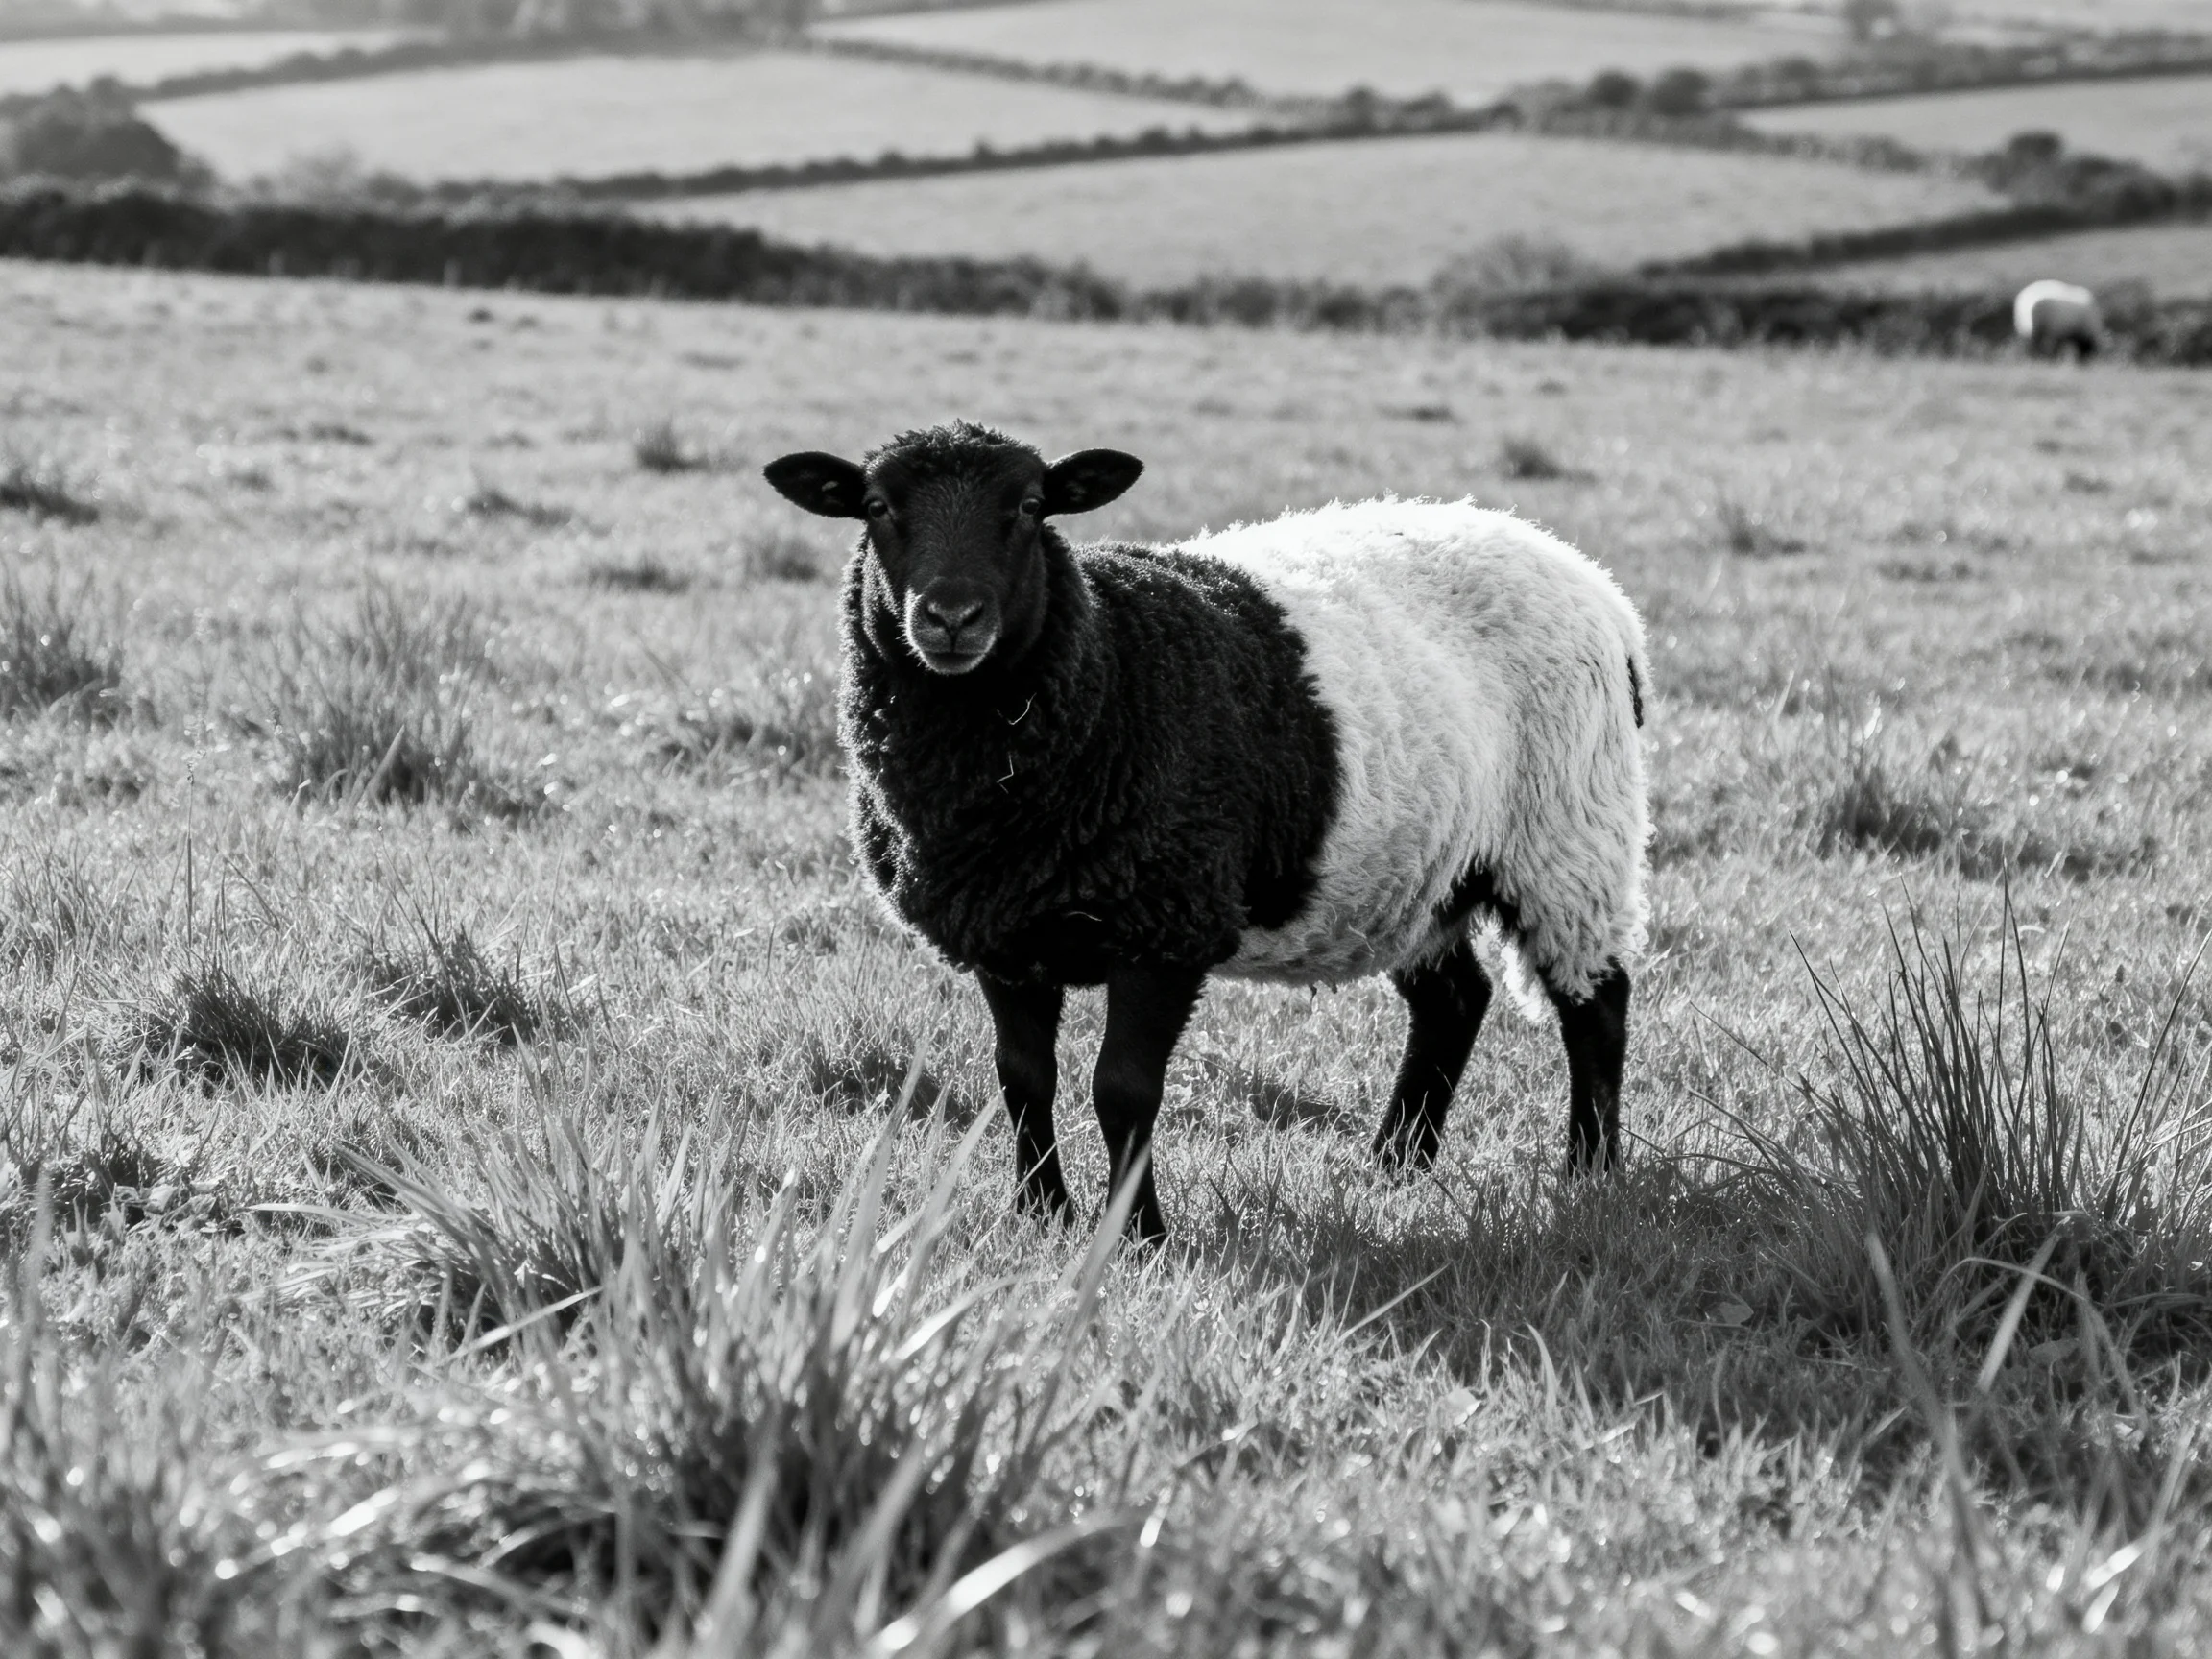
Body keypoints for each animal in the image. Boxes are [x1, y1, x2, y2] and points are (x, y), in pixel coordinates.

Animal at [765, 421, 1650, 1241]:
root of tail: (1584, 574)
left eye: (1029, 506)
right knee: (1454, 1001)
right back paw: (1395, 1166)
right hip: (1418, 869)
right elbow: (1022, 1077)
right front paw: (1041, 1214)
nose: (951, 616)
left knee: (1595, 1004)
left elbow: (1122, 1089)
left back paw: (1591, 1174)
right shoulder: (1004, 931)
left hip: (1570, 831)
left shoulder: (1165, 925)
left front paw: (1137, 1237)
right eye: (878, 507)